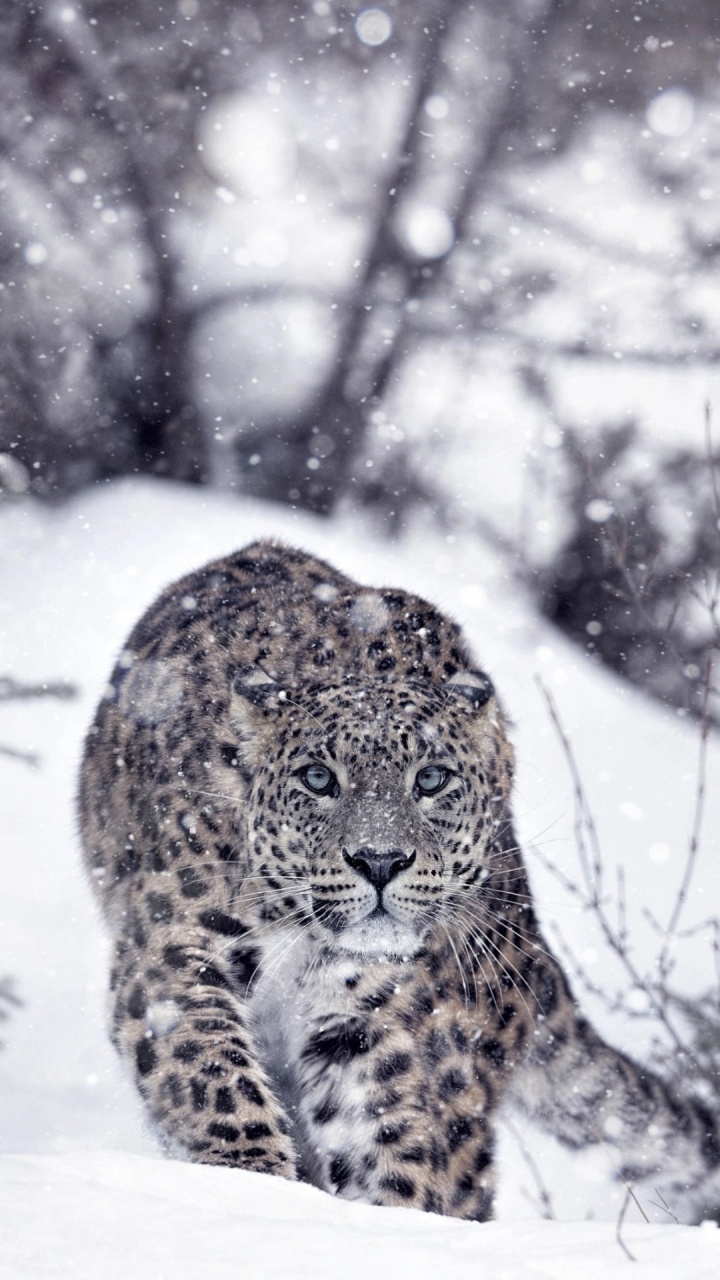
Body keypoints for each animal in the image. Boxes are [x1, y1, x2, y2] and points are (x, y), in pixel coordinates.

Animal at [79, 539, 720, 1222]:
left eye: (432, 779)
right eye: (317, 778)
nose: (380, 860)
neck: (297, 937)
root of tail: (530, 947)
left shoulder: (366, 1018)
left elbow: (386, 1134)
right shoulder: (174, 948)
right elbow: (210, 1070)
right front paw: (253, 1178)